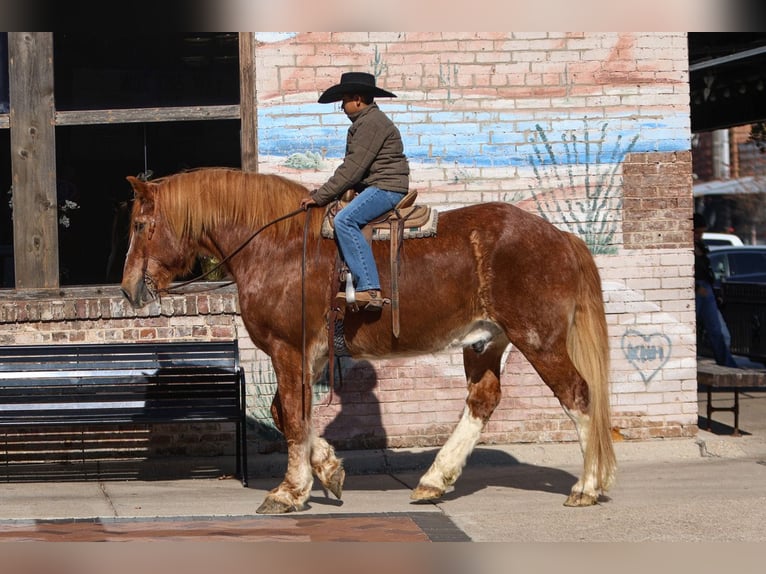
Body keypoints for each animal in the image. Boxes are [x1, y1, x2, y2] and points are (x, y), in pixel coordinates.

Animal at [123, 168, 620, 516]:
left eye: (141, 225)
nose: (128, 289)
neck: (277, 247)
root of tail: (559, 237)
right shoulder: (309, 356)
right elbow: (288, 414)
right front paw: (328, 470)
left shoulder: (289, 349)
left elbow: (294, 417)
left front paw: (289, 491)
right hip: (486, 342)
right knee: (483, 401)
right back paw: (434, 480)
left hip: (539, 341)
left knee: (579, 396)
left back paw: (586, 486)